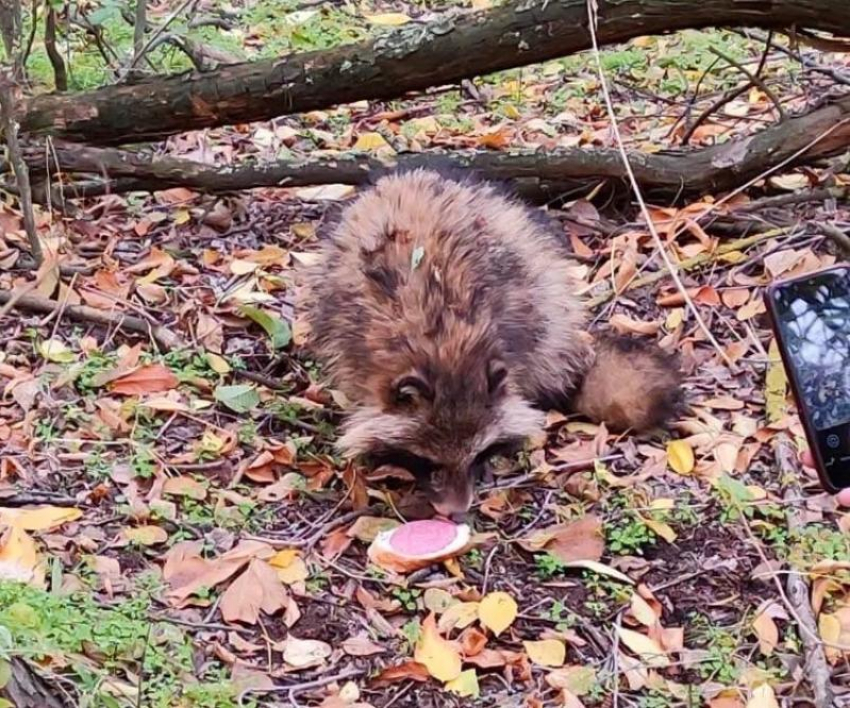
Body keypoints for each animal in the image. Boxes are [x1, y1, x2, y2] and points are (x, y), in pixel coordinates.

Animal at [300, 169, 684, 516]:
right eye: (429, 461)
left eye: (476, 455)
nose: (456, 513)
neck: (443, 342)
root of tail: (415, 173)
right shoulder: (349, 337)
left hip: (543, 288)